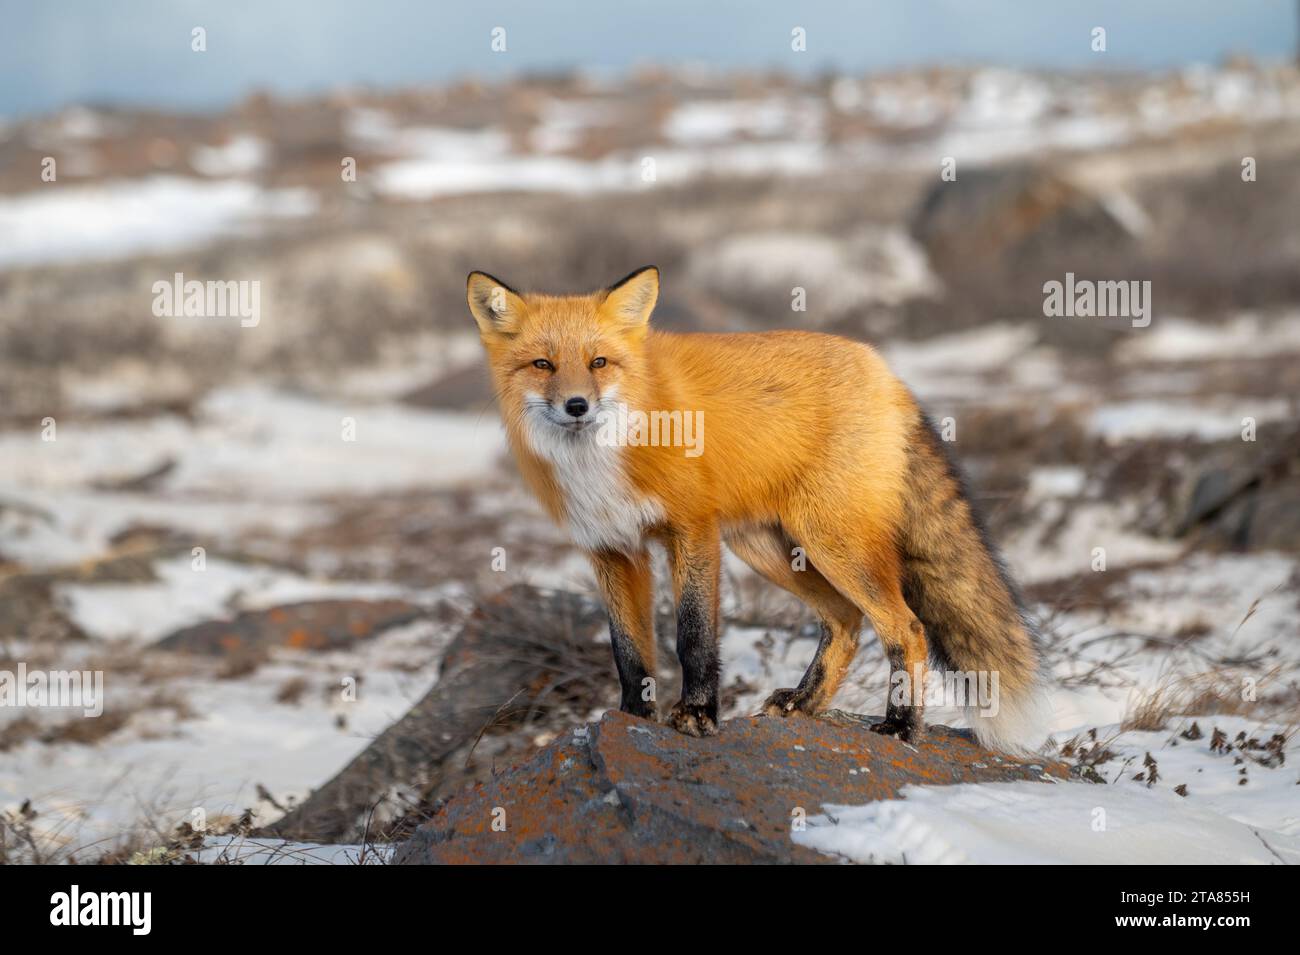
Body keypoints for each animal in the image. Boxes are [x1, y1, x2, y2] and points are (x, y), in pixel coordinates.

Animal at [467, 265, 1045, 748]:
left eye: (599, 362)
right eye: (543, 365)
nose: (577, 405)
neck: (606, 455)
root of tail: (885, 370)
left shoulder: (692, 529)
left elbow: (693, 635)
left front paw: (698, 715)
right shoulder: (611, 548)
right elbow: (628, 650)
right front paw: (631, 718)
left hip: (830, 542)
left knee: (906, 626)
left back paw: (901, 725)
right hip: (769, 548)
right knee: (845, 621)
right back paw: (803, 703)